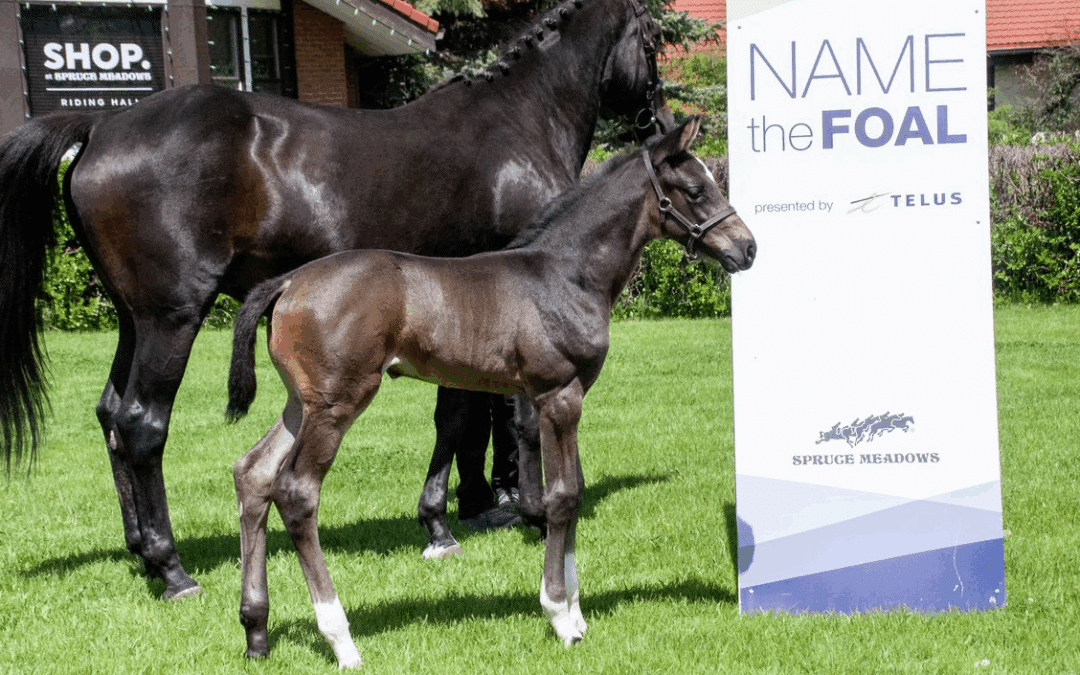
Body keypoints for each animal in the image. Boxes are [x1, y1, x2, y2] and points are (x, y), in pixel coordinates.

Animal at [0, 0, 673, 600]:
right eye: (652, 40)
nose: (662, 123)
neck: (516, 124)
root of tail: (101, 126)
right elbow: (510, 416)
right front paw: (522, 507)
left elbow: (461, 413)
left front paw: (463, 510)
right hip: (172, 318)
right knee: (142, 425)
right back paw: (172, 570)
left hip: (132, 320)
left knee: (112, 415)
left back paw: (141, 551)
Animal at [225, 117, 756, 667]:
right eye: (696, 191)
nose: (747, 249)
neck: (567, 274)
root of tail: (287, 282)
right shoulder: (556, 394)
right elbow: (561, 497)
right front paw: (559, 615)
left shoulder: (571, 398)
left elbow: (574, 491)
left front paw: (578, 614)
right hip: (337, 403)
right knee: (296, 491)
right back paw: (340, 639)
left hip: (301, 404)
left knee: (253, 474)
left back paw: (256, 631)